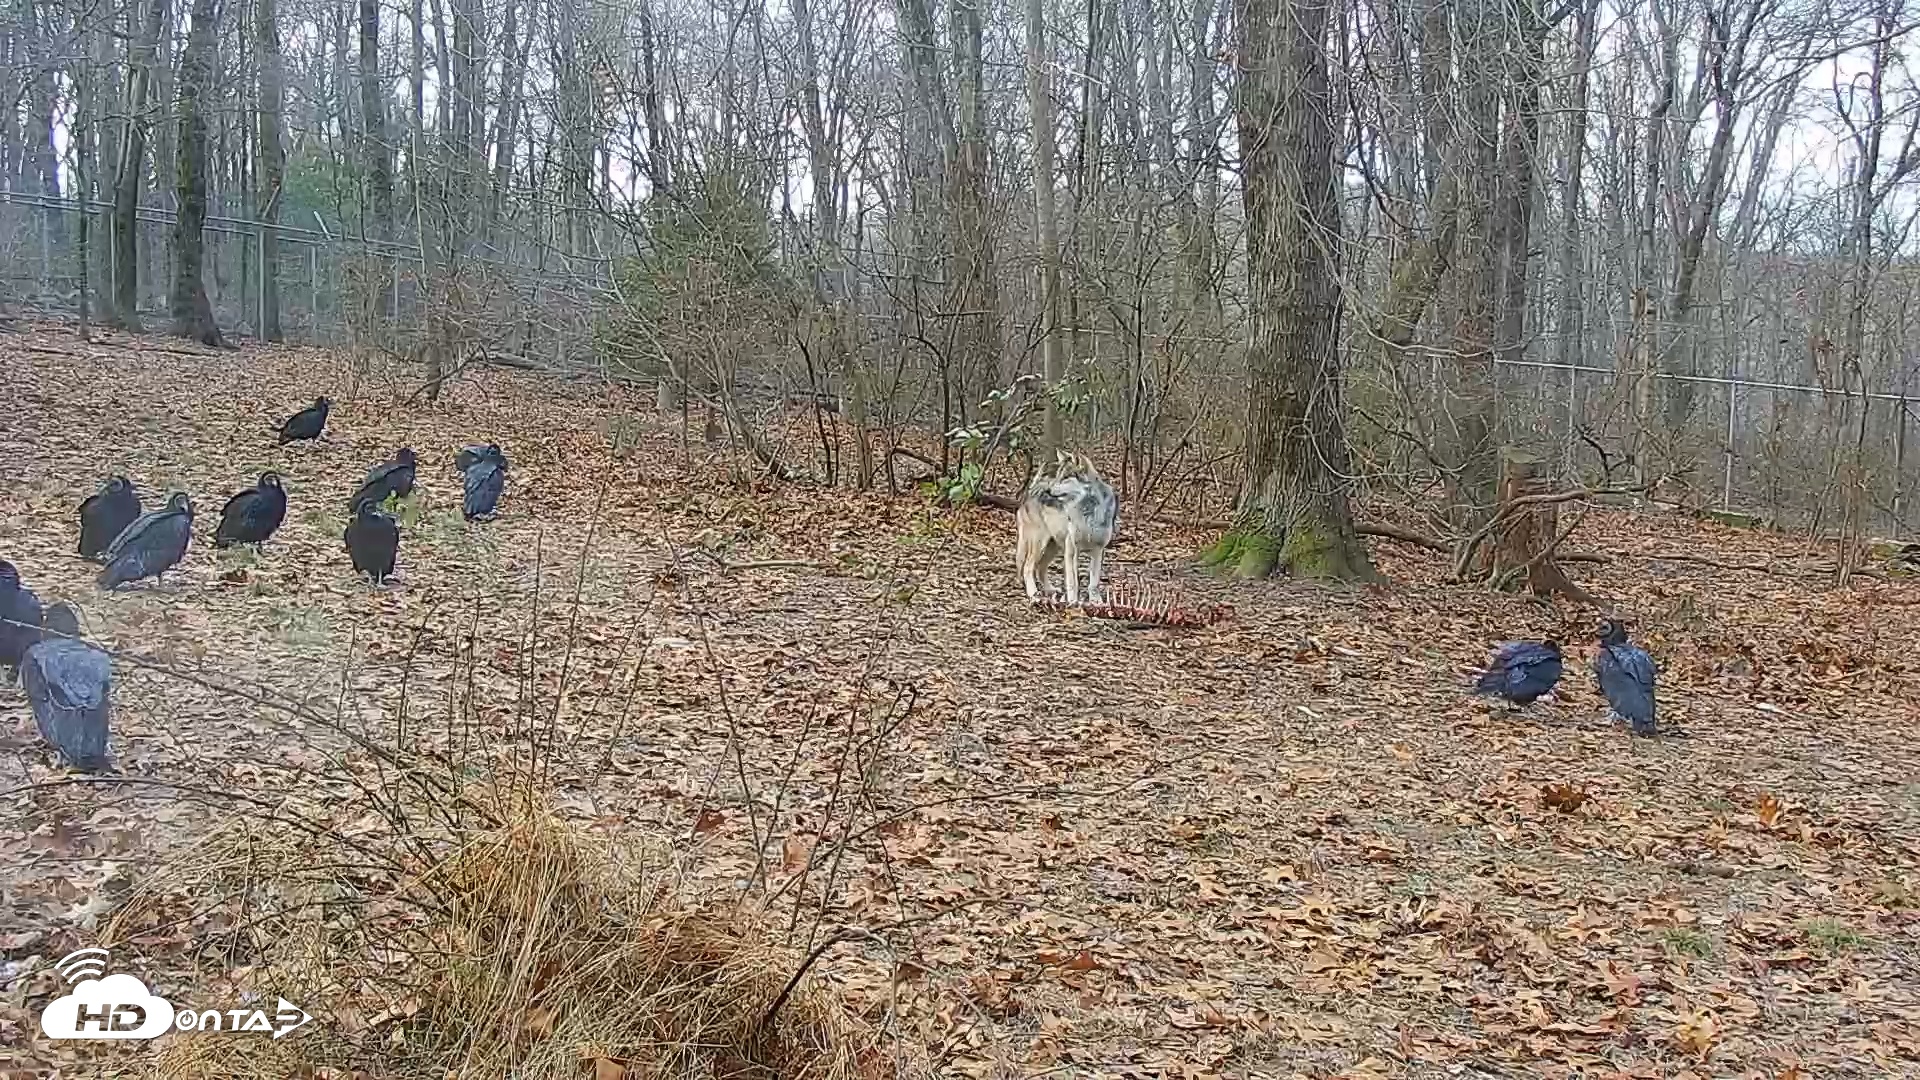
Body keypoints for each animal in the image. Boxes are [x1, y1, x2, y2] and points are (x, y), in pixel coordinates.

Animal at [1015, 450, 1120, 604]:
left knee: (1040, 568)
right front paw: (1072, 602)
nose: (1048, 490)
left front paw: (1096, 602)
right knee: (1028, 568)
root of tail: (1031, 490)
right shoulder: (1072, 550)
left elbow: (1094, 582)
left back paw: (1050, 590)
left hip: (1054, 547)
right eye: (1058, 475)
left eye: (1065, 477)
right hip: (1040, 544)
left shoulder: (1098, 550)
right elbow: (1073, 581)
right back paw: (1033, 594)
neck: (1088, 511)